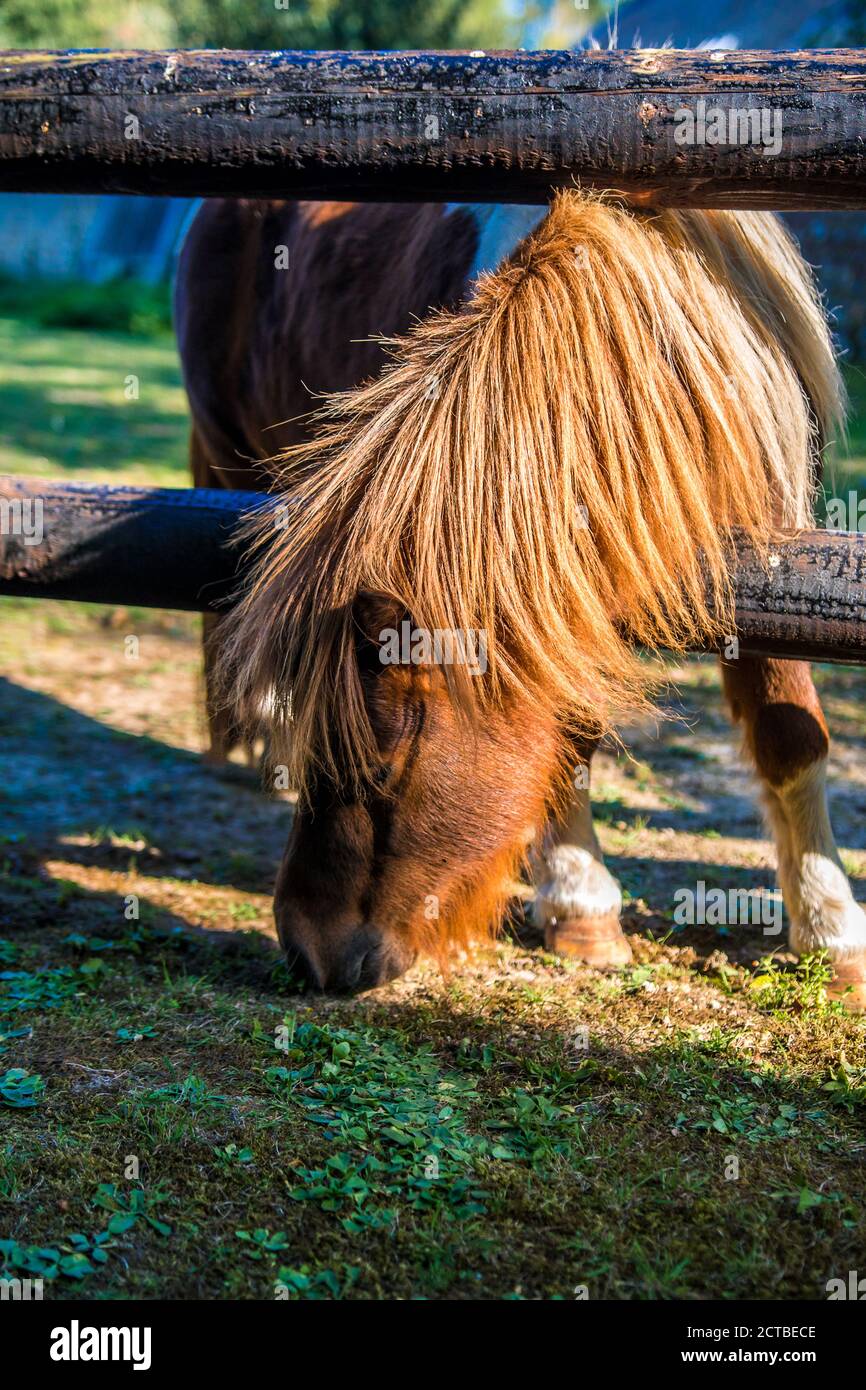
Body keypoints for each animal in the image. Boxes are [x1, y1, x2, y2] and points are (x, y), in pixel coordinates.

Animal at [174, 190, 866, 1008]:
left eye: (381, 765)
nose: (306, 948)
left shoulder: (773, 558)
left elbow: (790, 736)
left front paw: (833, 934)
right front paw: (582, 909)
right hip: (234, 462)